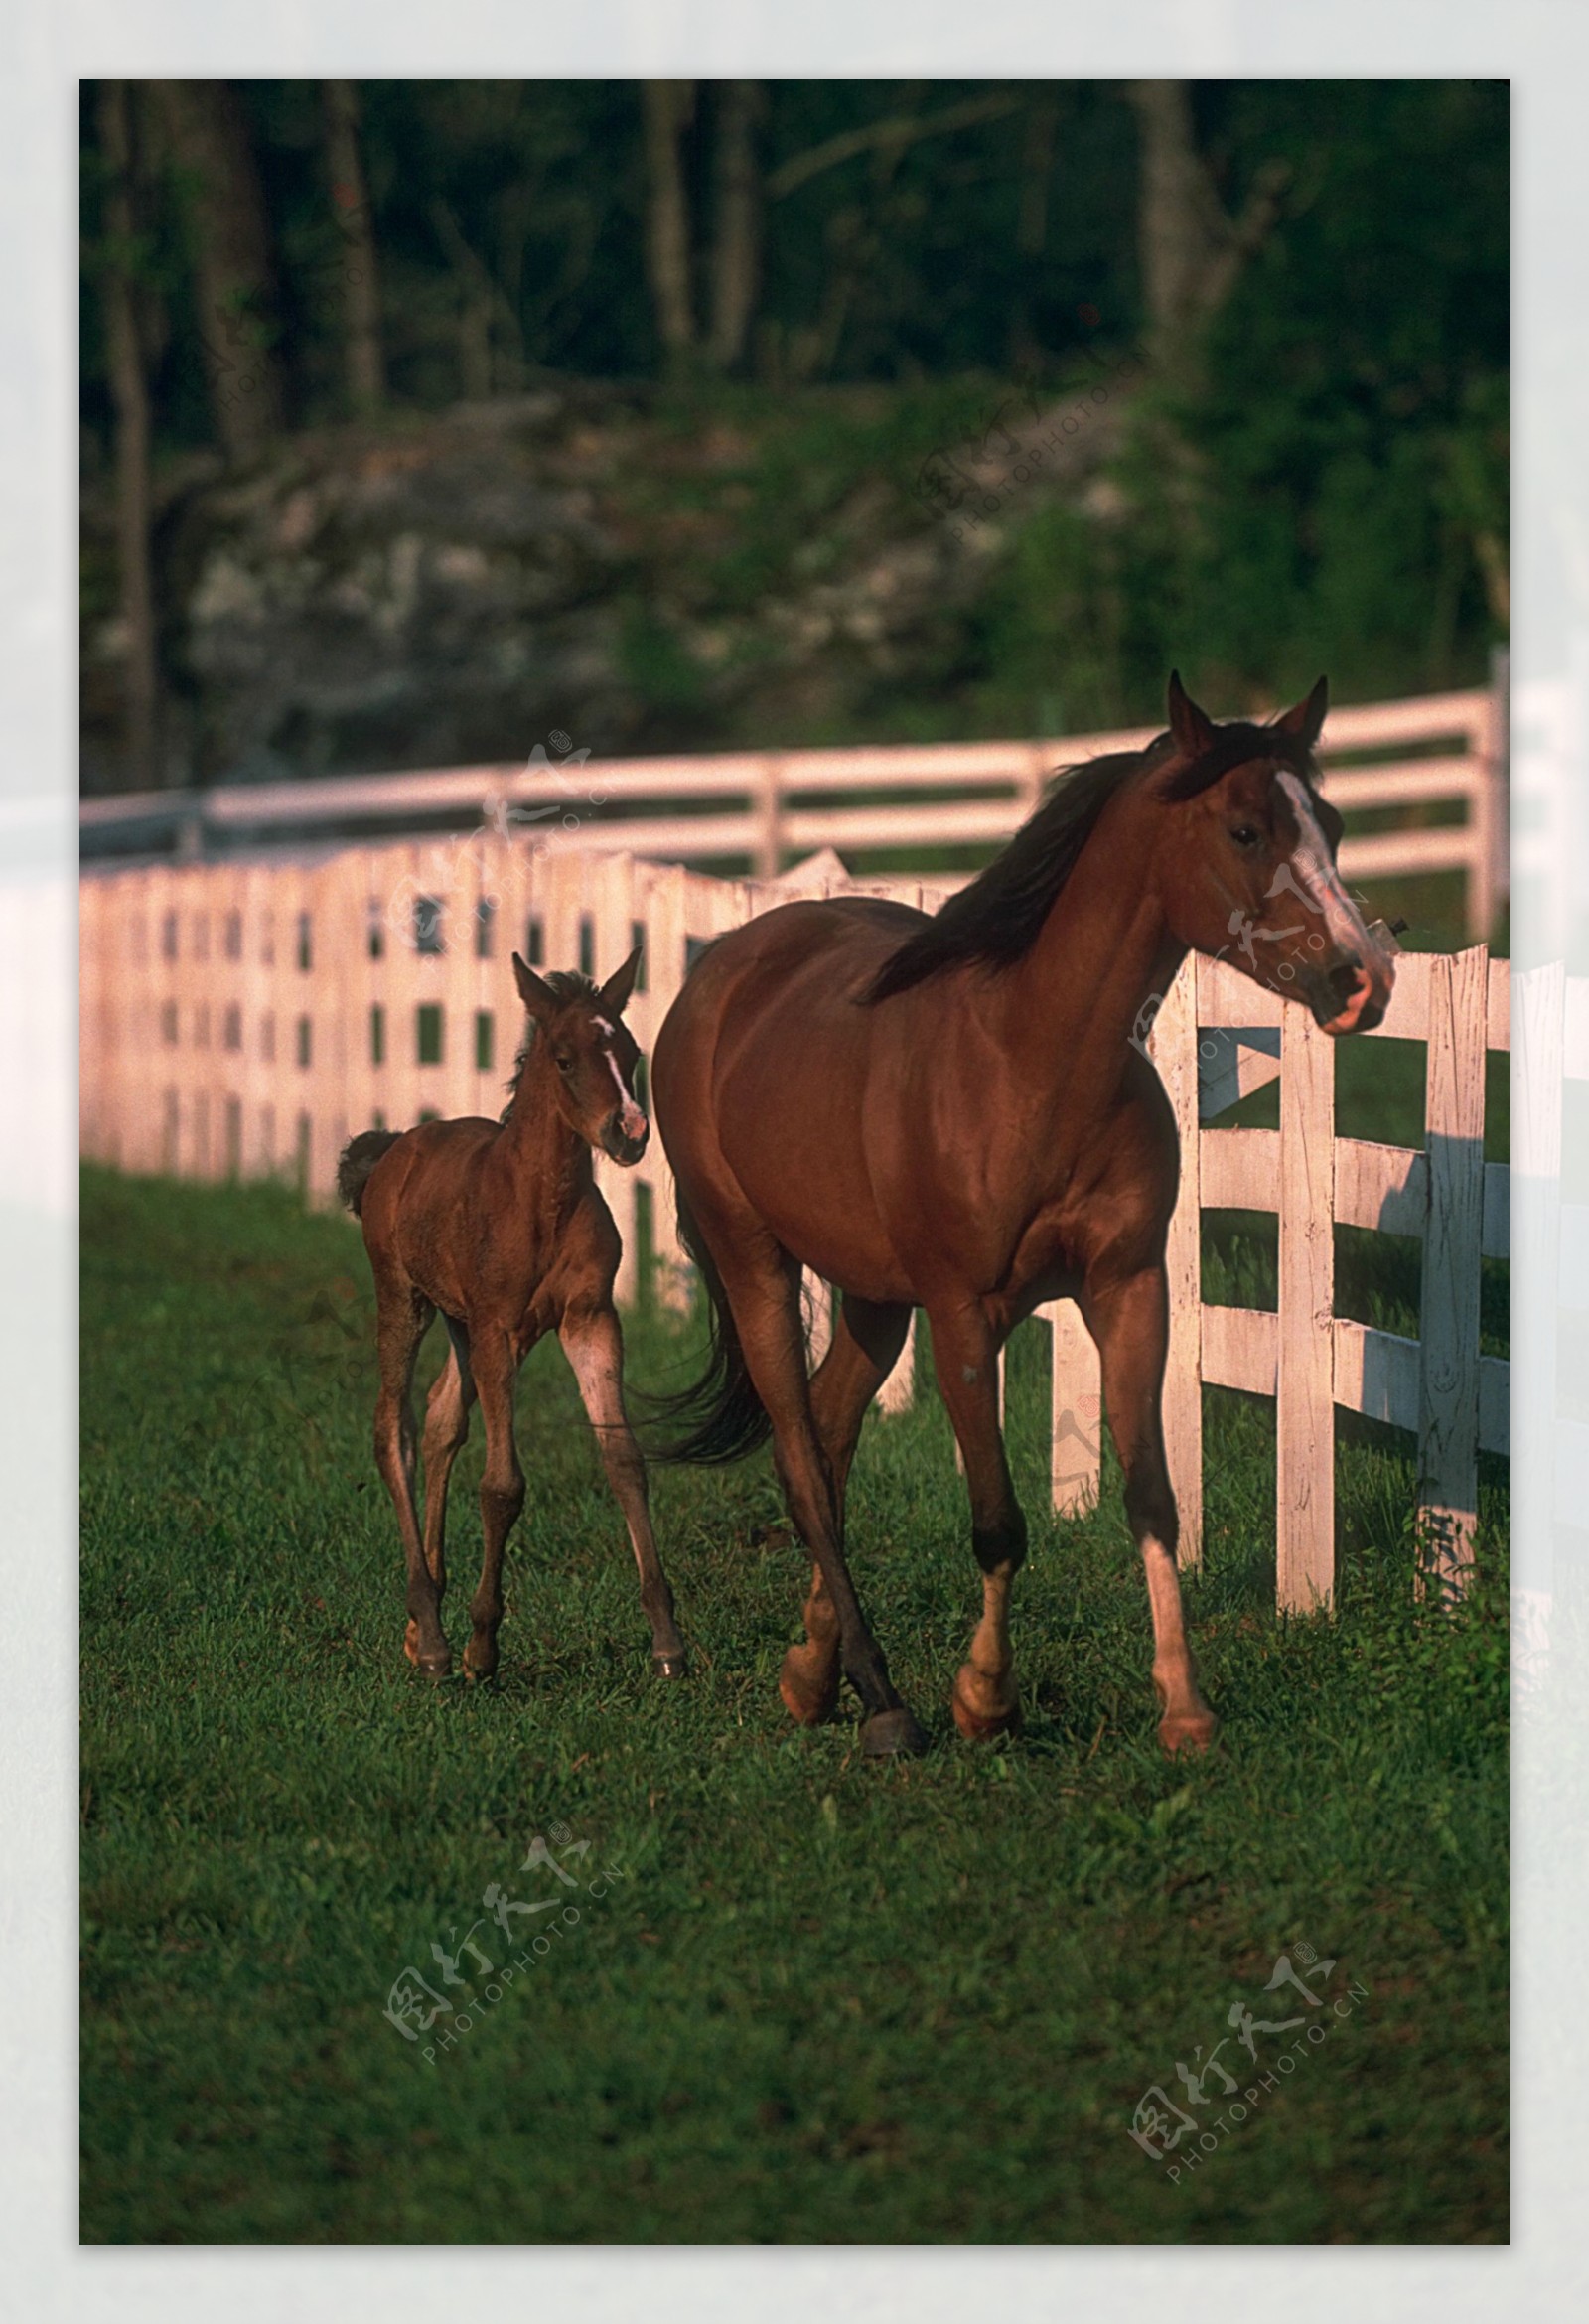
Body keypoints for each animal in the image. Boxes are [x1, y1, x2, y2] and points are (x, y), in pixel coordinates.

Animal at [334, 944, 682, 1691]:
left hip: (467, 1327)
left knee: (441, 1419)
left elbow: (623, 1460)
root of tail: (396, 1148)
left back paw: (422, 1621)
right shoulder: (498, 1326)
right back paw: (433, 1637)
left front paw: (669, 1641)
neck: (541, 1202)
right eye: (564, 1057)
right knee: (394, 1431)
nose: (629, 1133)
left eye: (631, 1051)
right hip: (406, 1300)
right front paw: (482, 1645)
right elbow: (503, 1486)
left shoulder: (589, 1320)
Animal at [646, 673, 1393, 1757]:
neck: (1029, 1064)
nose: (1362, 979)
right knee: (801, 1462)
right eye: (1246, 828)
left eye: (1329, 824)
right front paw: (984, 1696)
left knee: (829, 1437)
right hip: (756, 1265)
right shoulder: (965, 1317)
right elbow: (998, 1520)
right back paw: (881, 1699)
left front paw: (1184, 1706)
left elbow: (1151, 1497)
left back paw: (810, 1673)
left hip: (874, 1298)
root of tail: (717, 974)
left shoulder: (1126, 1293)